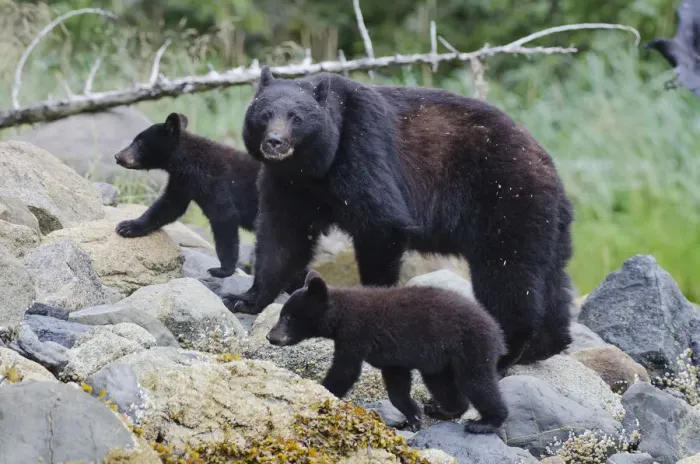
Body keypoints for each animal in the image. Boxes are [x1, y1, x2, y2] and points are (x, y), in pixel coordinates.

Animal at [114, 112, 260, 278]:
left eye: (138, 142)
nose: (118, 156)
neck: (188, 160)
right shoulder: (183, 181)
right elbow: (169, 205)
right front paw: (128, 226)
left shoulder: (214, 182)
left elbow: (224, 215)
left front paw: (223, 269)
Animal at [224, 66, 574, 371]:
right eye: (264, 114)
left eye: (296, 118)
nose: (275, 142)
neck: (314, 167)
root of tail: (551, 171)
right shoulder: (288, 185)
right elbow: (281, 238)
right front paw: (245, 299)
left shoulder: (361, 150)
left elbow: (380, 224)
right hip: (545, 225)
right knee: (551, 282)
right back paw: (544, 346)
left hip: (507, 201)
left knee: (508, 275)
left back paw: (506, 351)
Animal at [266, 270, 509, 434]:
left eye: (287, 316)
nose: (270, 336)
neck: (341, 316)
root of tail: (496, 329)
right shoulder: (392, 356)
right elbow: (396, 384)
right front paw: (414, 415)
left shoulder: (355, 336)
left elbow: (345, 371)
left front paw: (322, 391)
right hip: (442, 361)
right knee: (443, 385)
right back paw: (443, 409)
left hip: (470, 347)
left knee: (477, 382)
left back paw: (486, 422)